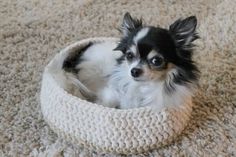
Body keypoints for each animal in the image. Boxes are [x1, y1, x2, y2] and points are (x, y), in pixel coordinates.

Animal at [60, 12, 199, 110]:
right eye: (130, 55)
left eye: (156, 61)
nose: (134, 71)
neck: (144, 86)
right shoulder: (111, 92)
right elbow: (108, 102)